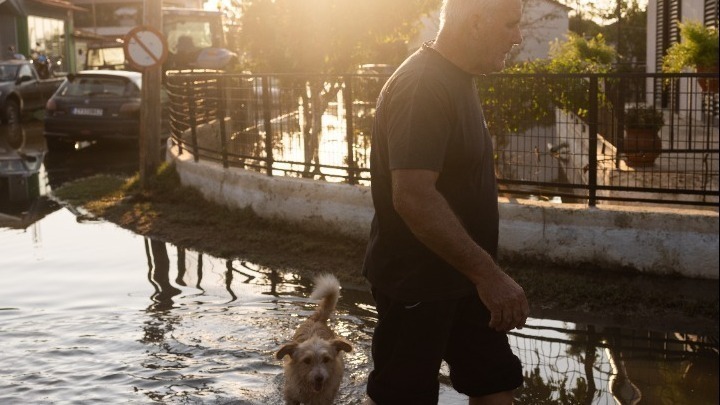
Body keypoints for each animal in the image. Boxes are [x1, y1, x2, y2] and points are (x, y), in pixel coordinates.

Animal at [278, 274, 352, 404]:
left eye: (326, 359)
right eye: (307, 360)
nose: (319, 378)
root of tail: (317, 319)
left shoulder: (326, 399)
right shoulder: (292, 396)